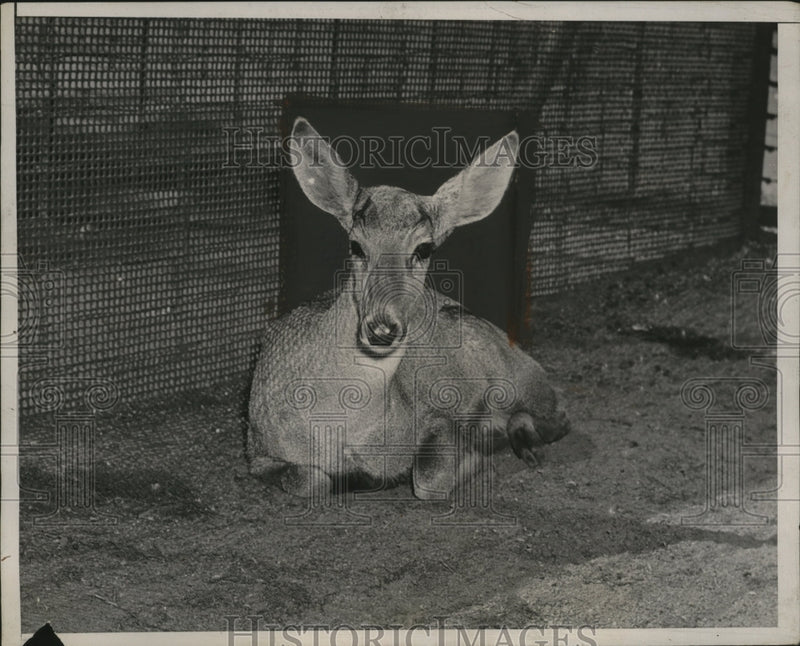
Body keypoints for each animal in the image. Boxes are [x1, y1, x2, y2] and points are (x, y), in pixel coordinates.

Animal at [247, 117, 570, 500]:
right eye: (356, 245)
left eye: (424, 249)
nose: (382, 328)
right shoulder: (257, 448)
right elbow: (308, 480)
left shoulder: (435, 414)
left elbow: (428, 479)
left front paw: (475, 454)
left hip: (512, 372)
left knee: (558, 413)